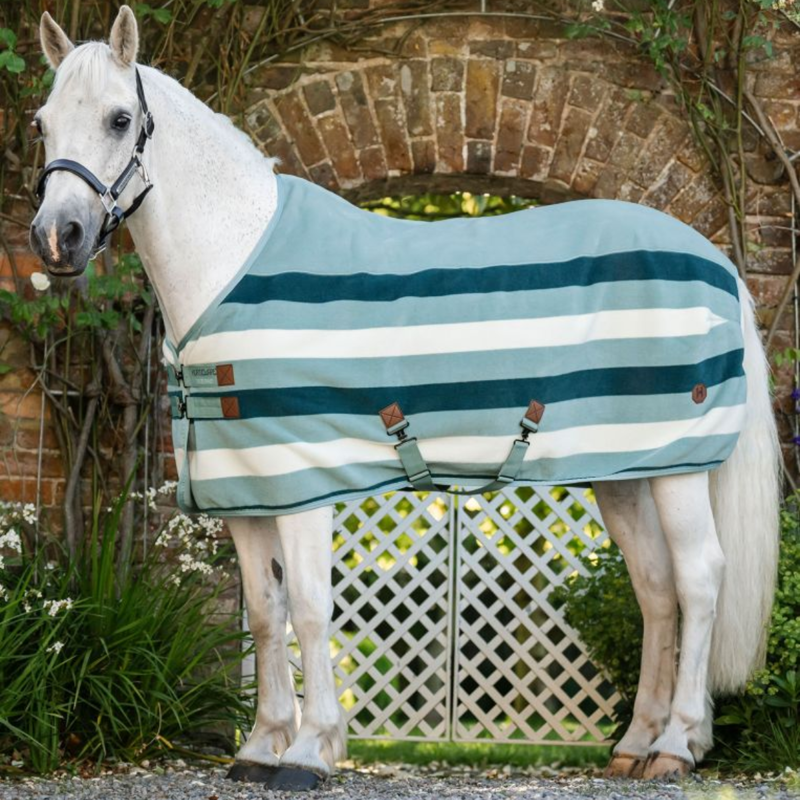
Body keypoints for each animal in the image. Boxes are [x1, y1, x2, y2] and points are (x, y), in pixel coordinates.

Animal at [29, 6, 780, 789]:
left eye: (120, 119)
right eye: (42, 123)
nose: (57, 237)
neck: (231, 263)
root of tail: (716, 259)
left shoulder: (304, 481)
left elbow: (309, 608)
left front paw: (310, 751)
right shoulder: (244, 489)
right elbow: (266, 612)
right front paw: (260, 747)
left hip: (679, 468)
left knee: (699, 581)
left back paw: (678, 743)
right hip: (624, 473)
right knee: (656, 589)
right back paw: (637, 743)